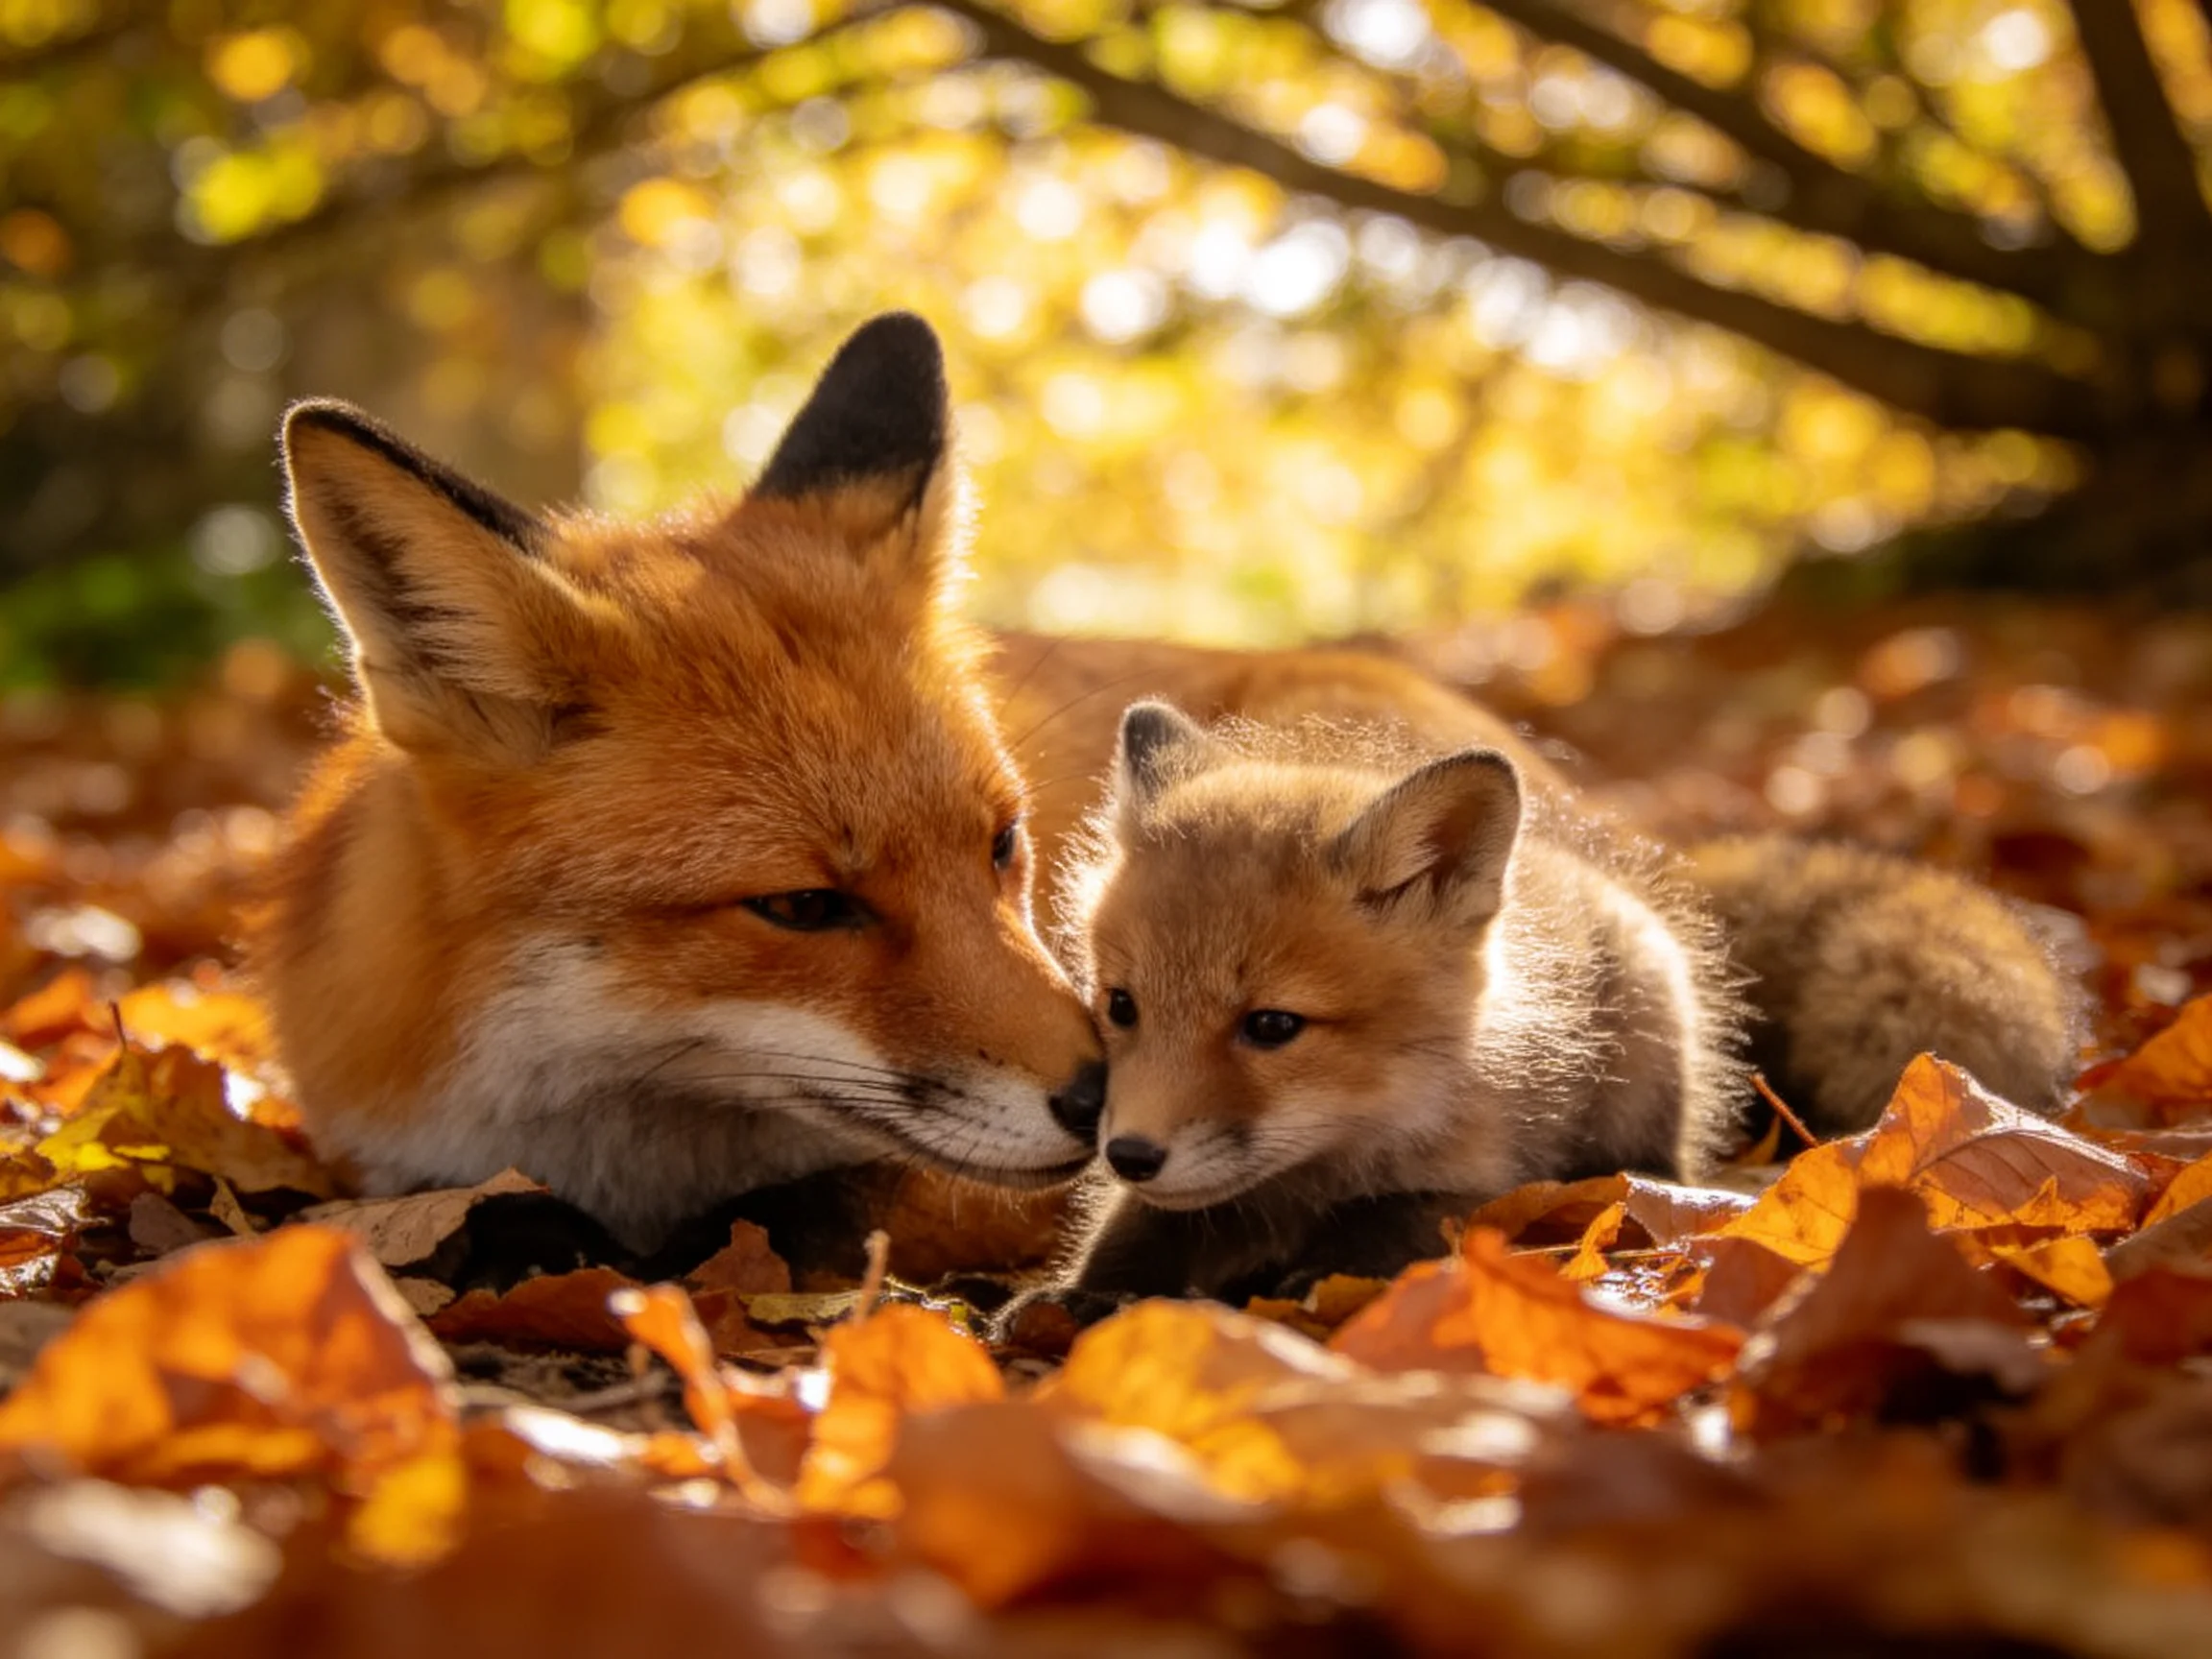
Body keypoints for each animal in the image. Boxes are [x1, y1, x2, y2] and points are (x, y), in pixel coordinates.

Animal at [1033, 701, 2085, 1304]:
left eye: (1272, 1026)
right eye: (1120, 1006)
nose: (1129, 1152)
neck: (1323, 1163)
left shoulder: (1479, 1179)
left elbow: (1375, 1232)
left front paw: (1293, 1284)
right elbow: (1139, 1232)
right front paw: (1079, 1300)